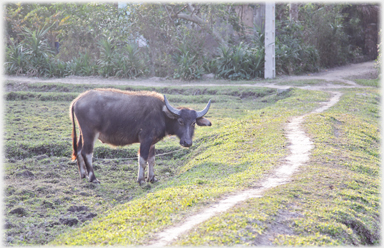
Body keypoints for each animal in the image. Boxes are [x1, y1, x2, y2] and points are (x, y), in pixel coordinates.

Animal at [70, 88, 212, 184]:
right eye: (181, 121)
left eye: (193, 123)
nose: (187, 142)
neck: (162, 115)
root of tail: (77, 101)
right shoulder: (145, 139)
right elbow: (142, 159)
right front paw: (141, 180)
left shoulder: (152, 142)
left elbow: (152, 159)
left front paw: (152, 178)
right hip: (90, 133)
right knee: (87, 153)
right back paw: (93, 178)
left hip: (82, 133)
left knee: (79, 150)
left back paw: (83, 175)